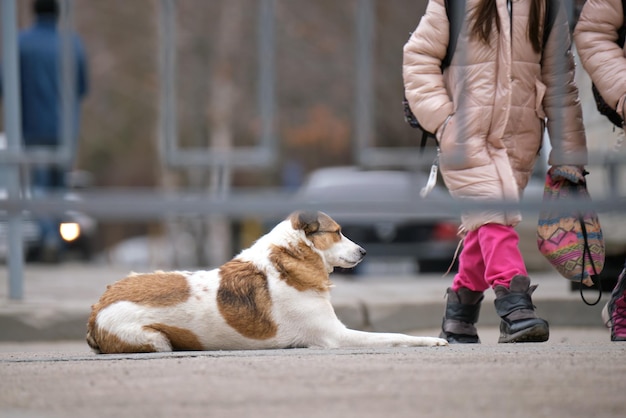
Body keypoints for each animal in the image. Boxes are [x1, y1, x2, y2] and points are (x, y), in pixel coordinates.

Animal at [88, 212, 446, 352]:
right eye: (338, 232)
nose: (364, 251)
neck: (289, 262)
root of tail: (96, 311)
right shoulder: (337, 336)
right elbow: (396, 336)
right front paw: (433, 340)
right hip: (156, 339)